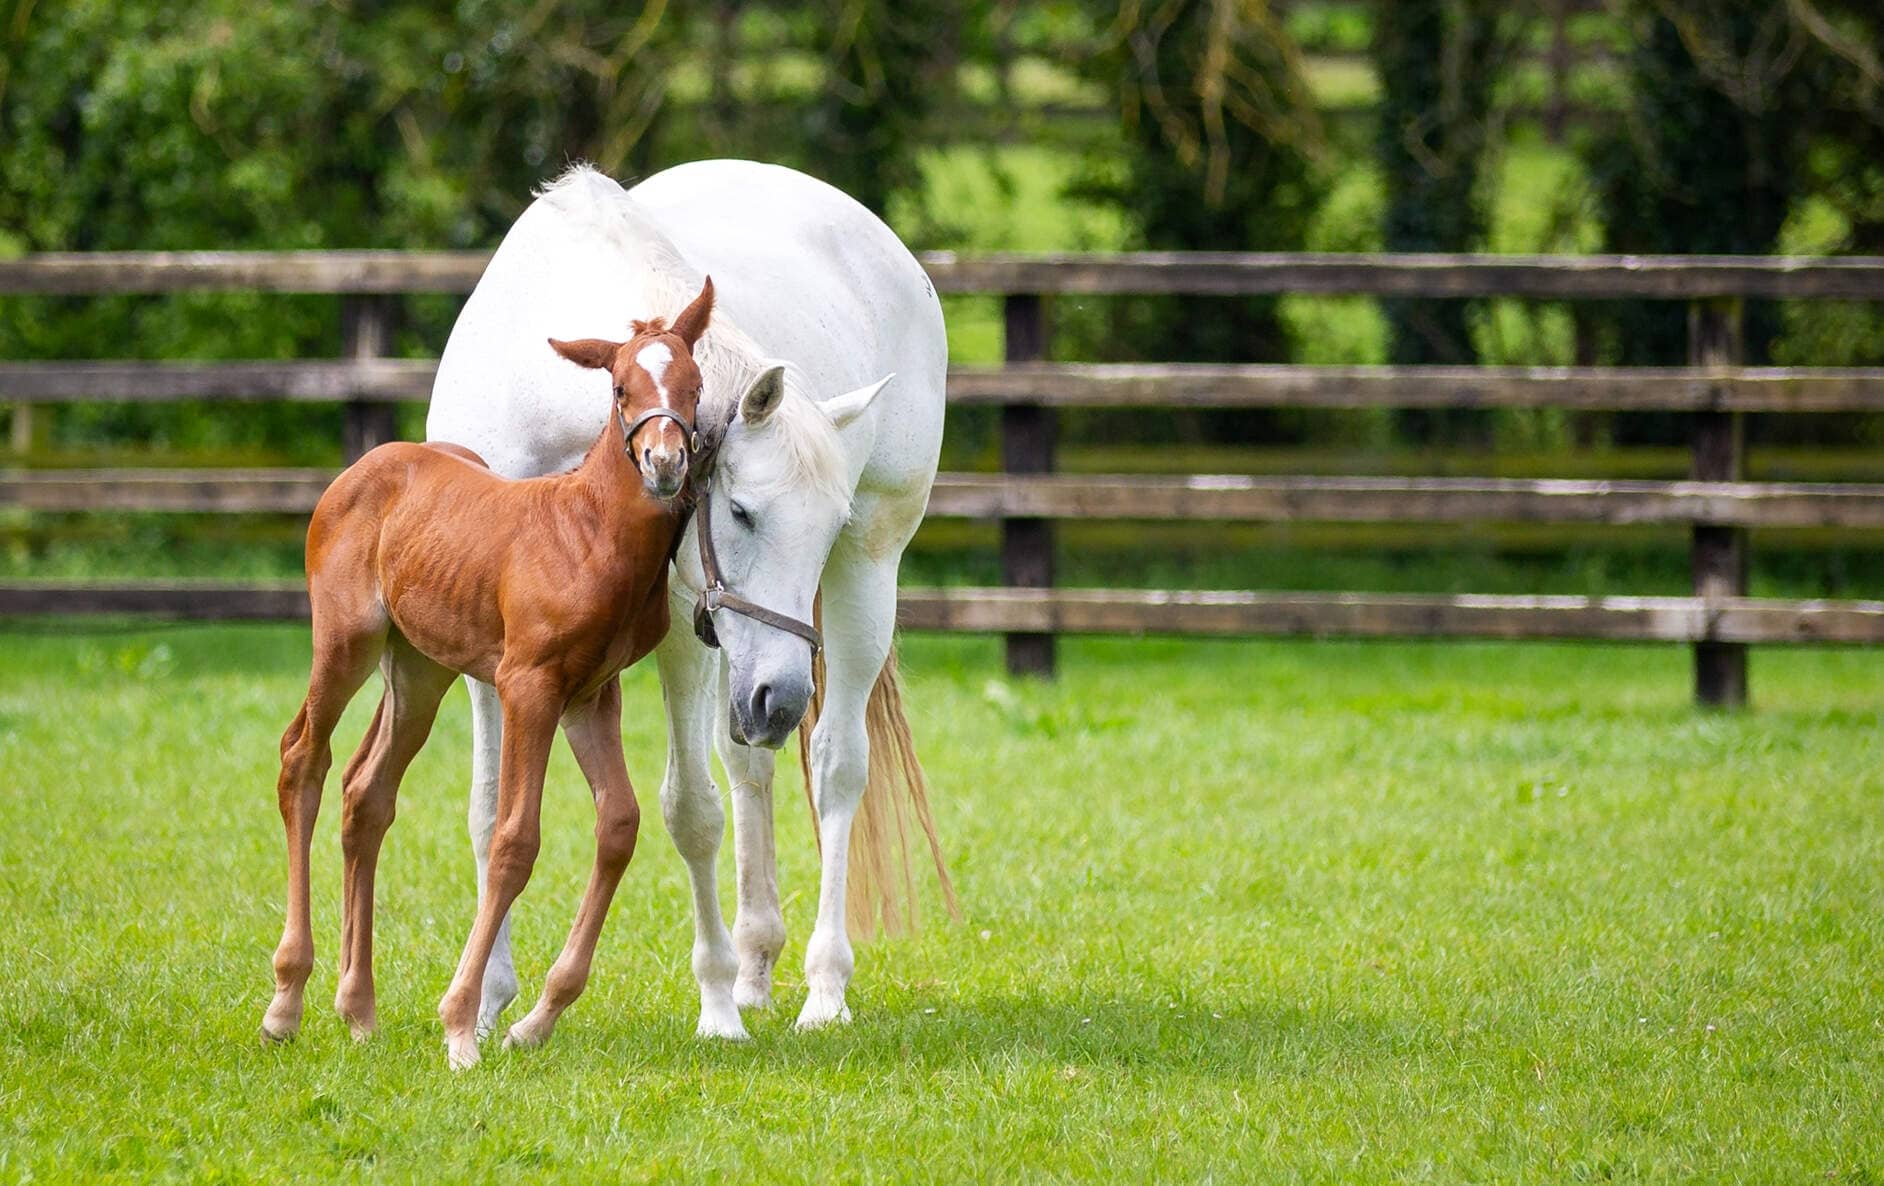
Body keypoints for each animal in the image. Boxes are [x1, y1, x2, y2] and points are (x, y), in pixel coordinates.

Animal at [262, 279, 728, 1069]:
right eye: (620, 387)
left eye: (695, 386)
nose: (665, 464)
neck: (590, 533)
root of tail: (362, 468)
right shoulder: (528, 685)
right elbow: (514, 841)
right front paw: (460, 1024)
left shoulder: (591, 695)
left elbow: (620, 825)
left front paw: (536, 1020)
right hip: (348, 639)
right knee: (304, 759)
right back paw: (287, 999)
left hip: (418, 667)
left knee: (367, 792)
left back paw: (359, 1010)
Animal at [425, 161, 955, 1041]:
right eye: (739, 511)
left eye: (826, 524)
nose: (783, 697)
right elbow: (489, 806)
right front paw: (491, 996)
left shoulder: (682, 627)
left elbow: (690, 809)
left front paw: (714, 1008)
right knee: (750, 764)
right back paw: (756, 965)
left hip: (856, 585)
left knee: (834, 766)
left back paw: (820, 987)